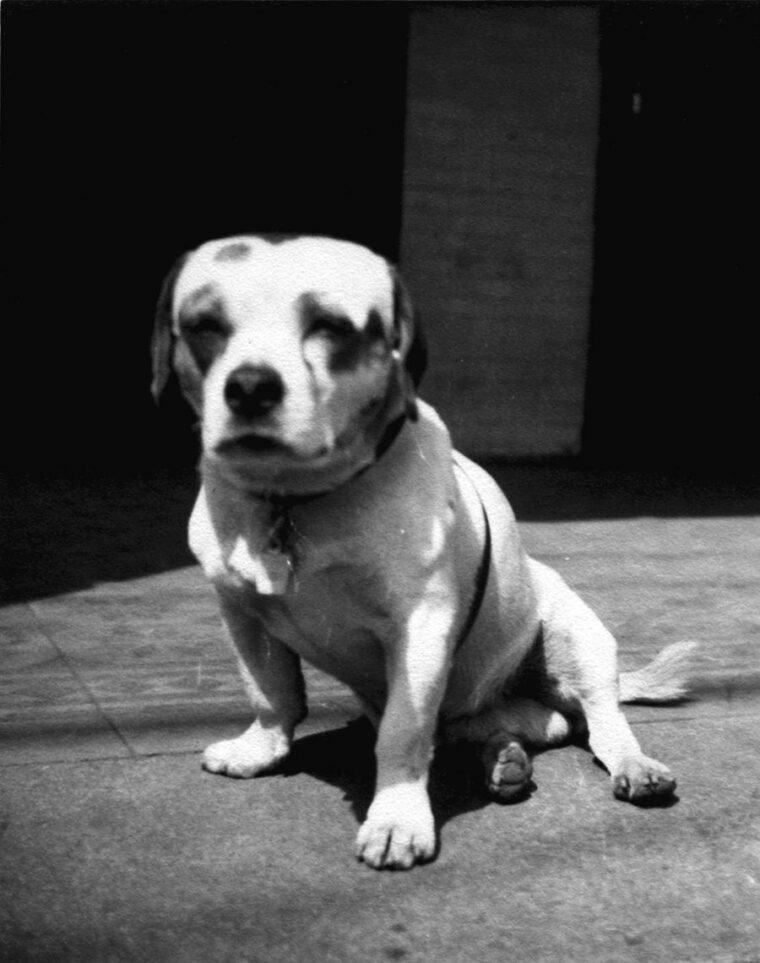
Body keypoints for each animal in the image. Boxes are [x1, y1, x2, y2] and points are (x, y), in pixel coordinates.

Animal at [150, 235, 696, 872]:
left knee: (601, 722)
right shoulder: (242, 613)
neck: (299, 498)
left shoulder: (419, 630)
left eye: (330, 326)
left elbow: (402, 733)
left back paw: (630, 765)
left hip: (577, 639)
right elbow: (271, 692)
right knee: (531, 726)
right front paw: (262, 748)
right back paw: (504, 759)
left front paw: (396, 818)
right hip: (483, 710)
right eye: (203, 326)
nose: (250, 387)